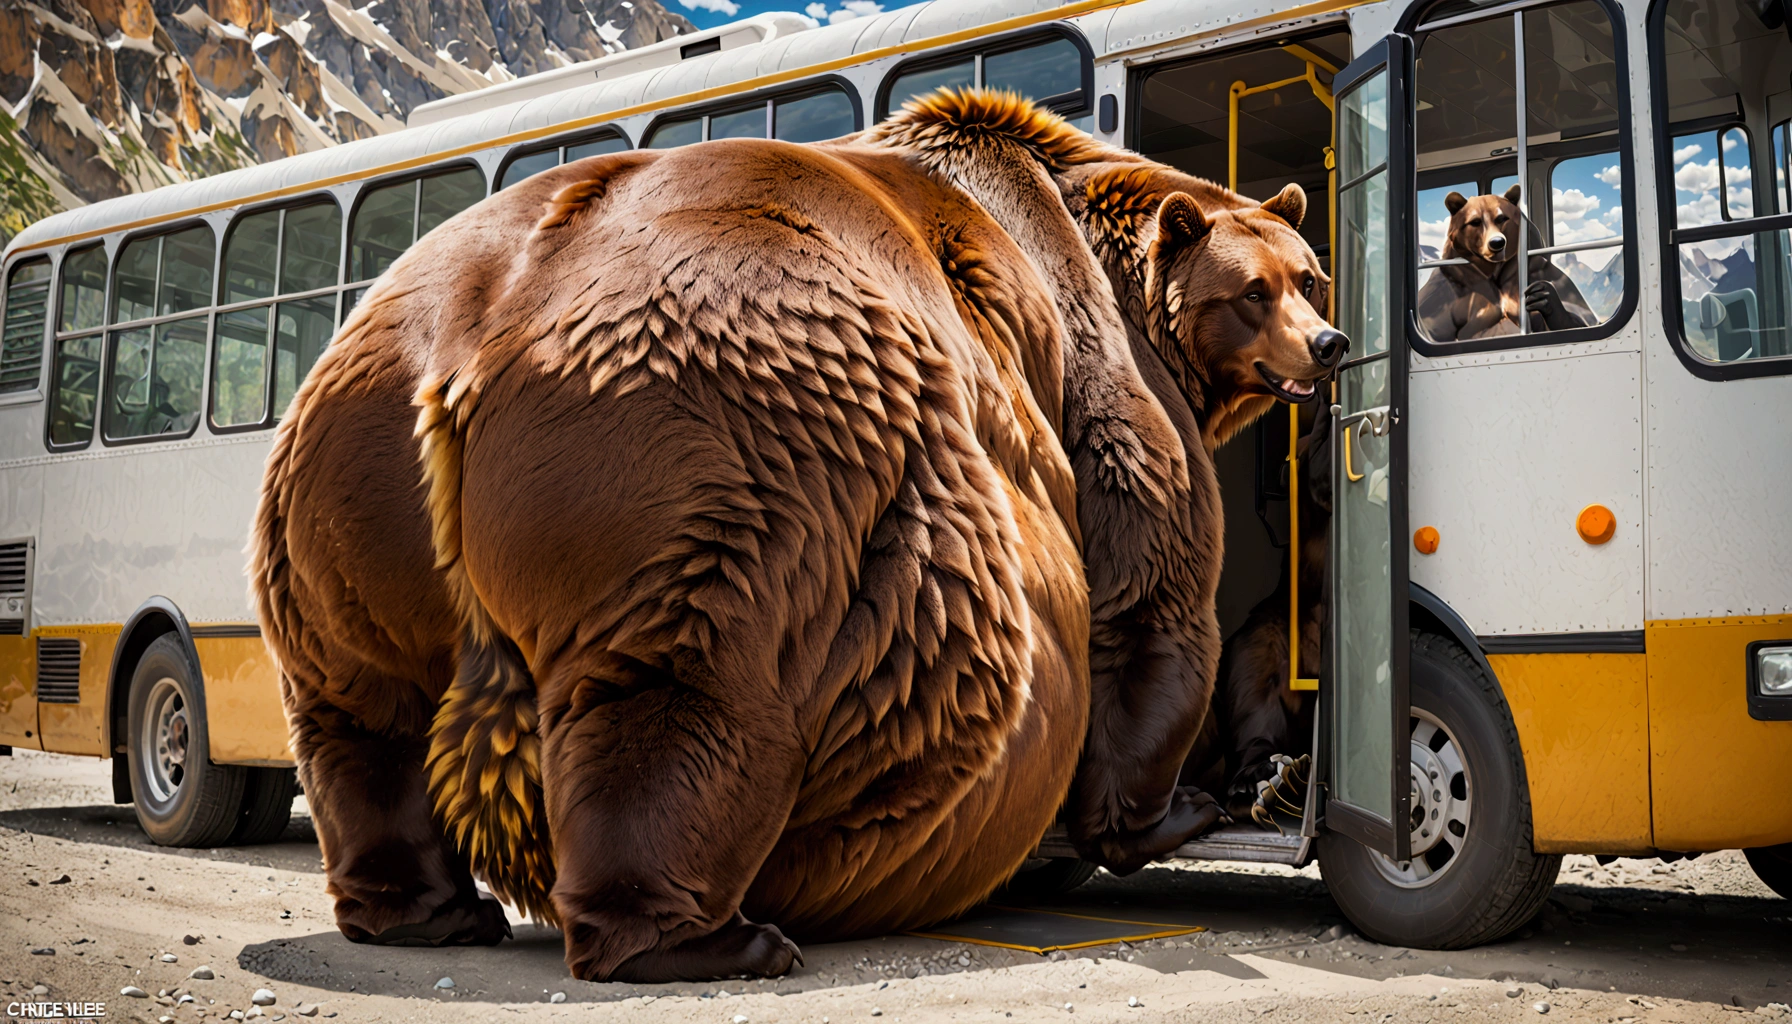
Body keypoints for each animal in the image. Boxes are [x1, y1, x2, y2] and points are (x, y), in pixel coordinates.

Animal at [256, 94, 1333, 982]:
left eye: (1310, 274)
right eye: (1254, 291)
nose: (1329, 344)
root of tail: (466, 360)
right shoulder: (1100, 370)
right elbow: (1151, 589)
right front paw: (1183, 805)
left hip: (346, 478)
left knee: (364, 708)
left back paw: (426, 911)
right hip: (721, 419)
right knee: (694, 688)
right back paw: (713, 938)